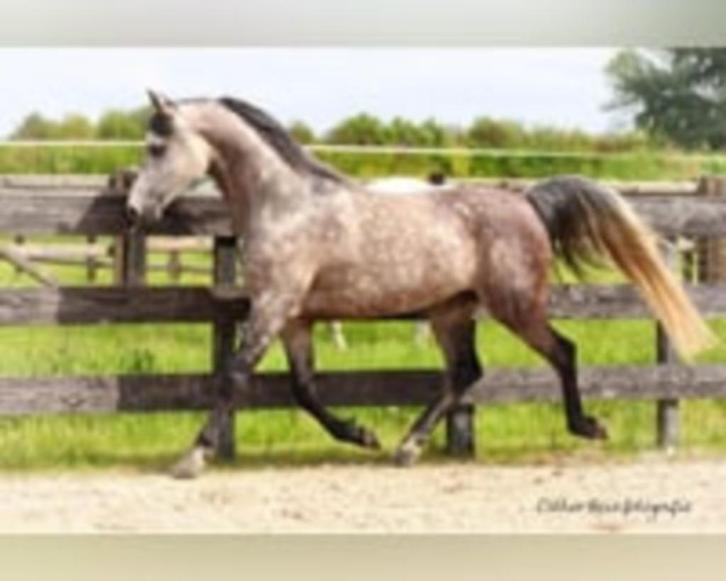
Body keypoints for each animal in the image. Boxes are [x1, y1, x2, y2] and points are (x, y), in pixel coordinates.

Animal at [126, 90, 715, 478]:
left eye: (156, 147)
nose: (133, 210)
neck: (287, 205)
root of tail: (526, 201)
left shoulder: (273, 306)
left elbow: (233, 376)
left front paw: (192, 457)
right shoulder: (295, 318)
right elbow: (305, 389)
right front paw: (361, 434)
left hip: (514, 305)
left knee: (562, 352)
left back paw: (587, 426)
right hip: (451, 310)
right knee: (467, 371)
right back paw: (407, 446)